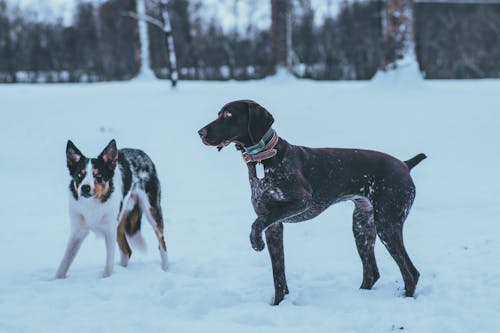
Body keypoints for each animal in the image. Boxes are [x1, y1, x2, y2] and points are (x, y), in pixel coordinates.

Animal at [55, 139, 167, 278]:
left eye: (98, 175)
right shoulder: (78, 231)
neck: (92, 205)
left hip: (152, 211)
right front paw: (57, 279)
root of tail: (141, 153)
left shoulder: (109, 230)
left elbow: (109, 264)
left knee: (162, 244)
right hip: (119, 222)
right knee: (127, 251)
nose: (85, 188)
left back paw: (165, 269)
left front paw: (106, 278)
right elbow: (64, 262)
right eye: (80, 175)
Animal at [197, 100, 424, 304]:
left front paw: (255, 242)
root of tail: (405, 164)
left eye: (229, 114)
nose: (200, 132)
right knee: (372, 273)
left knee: (410, 272)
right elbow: (279, 275)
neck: (264, 159)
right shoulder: (274, 227)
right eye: (219, 113)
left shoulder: (299, 202)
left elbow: (256, 224)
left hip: (387, 224)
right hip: (362, 227)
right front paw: (278, 304)